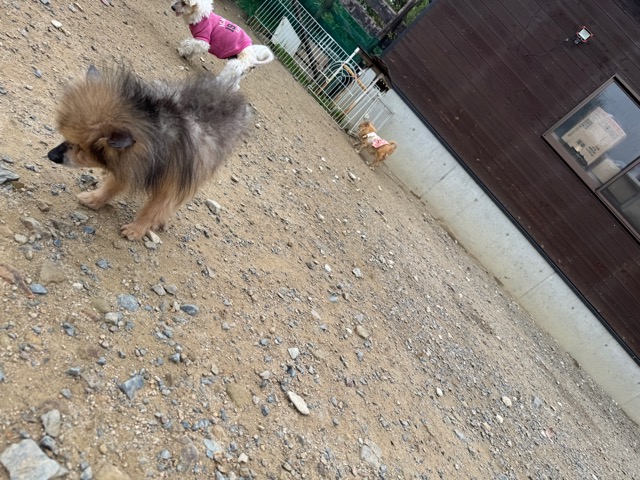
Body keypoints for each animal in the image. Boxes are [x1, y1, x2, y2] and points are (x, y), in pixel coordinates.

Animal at [47, 64, 250, 240]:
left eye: (81, 148)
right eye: (67, 139)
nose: (51, 155)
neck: (157, 137)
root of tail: (228, 90)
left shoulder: (171, 183)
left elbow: (154, 209)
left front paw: (137, 229)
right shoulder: (131, 165)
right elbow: (112, 185)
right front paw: (95, 198)